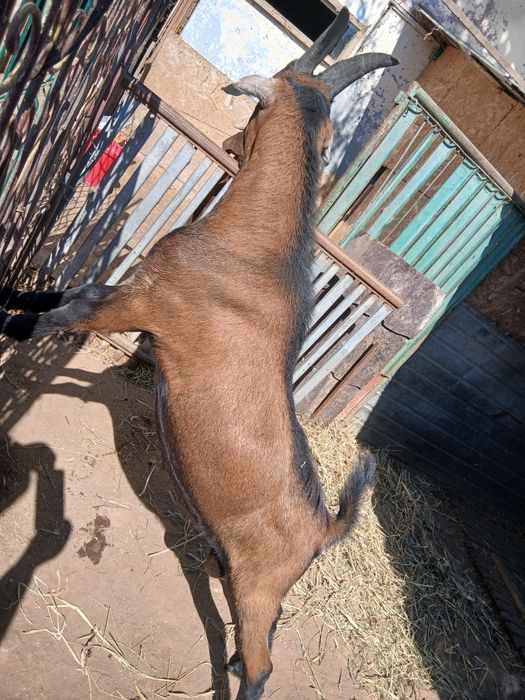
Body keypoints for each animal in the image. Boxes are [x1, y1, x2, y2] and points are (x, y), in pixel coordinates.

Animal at [0, 9, 397, 698]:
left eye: (259, 106)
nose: (235, 140)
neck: (252, 249)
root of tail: (324, 528)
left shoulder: (139, 305)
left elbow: (69, 312)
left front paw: (13, 326)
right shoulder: (132, 295)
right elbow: (66, 296)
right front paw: (10, 300)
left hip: (258, 584)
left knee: (266, 661)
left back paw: (240, 673)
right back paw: (232, 660)